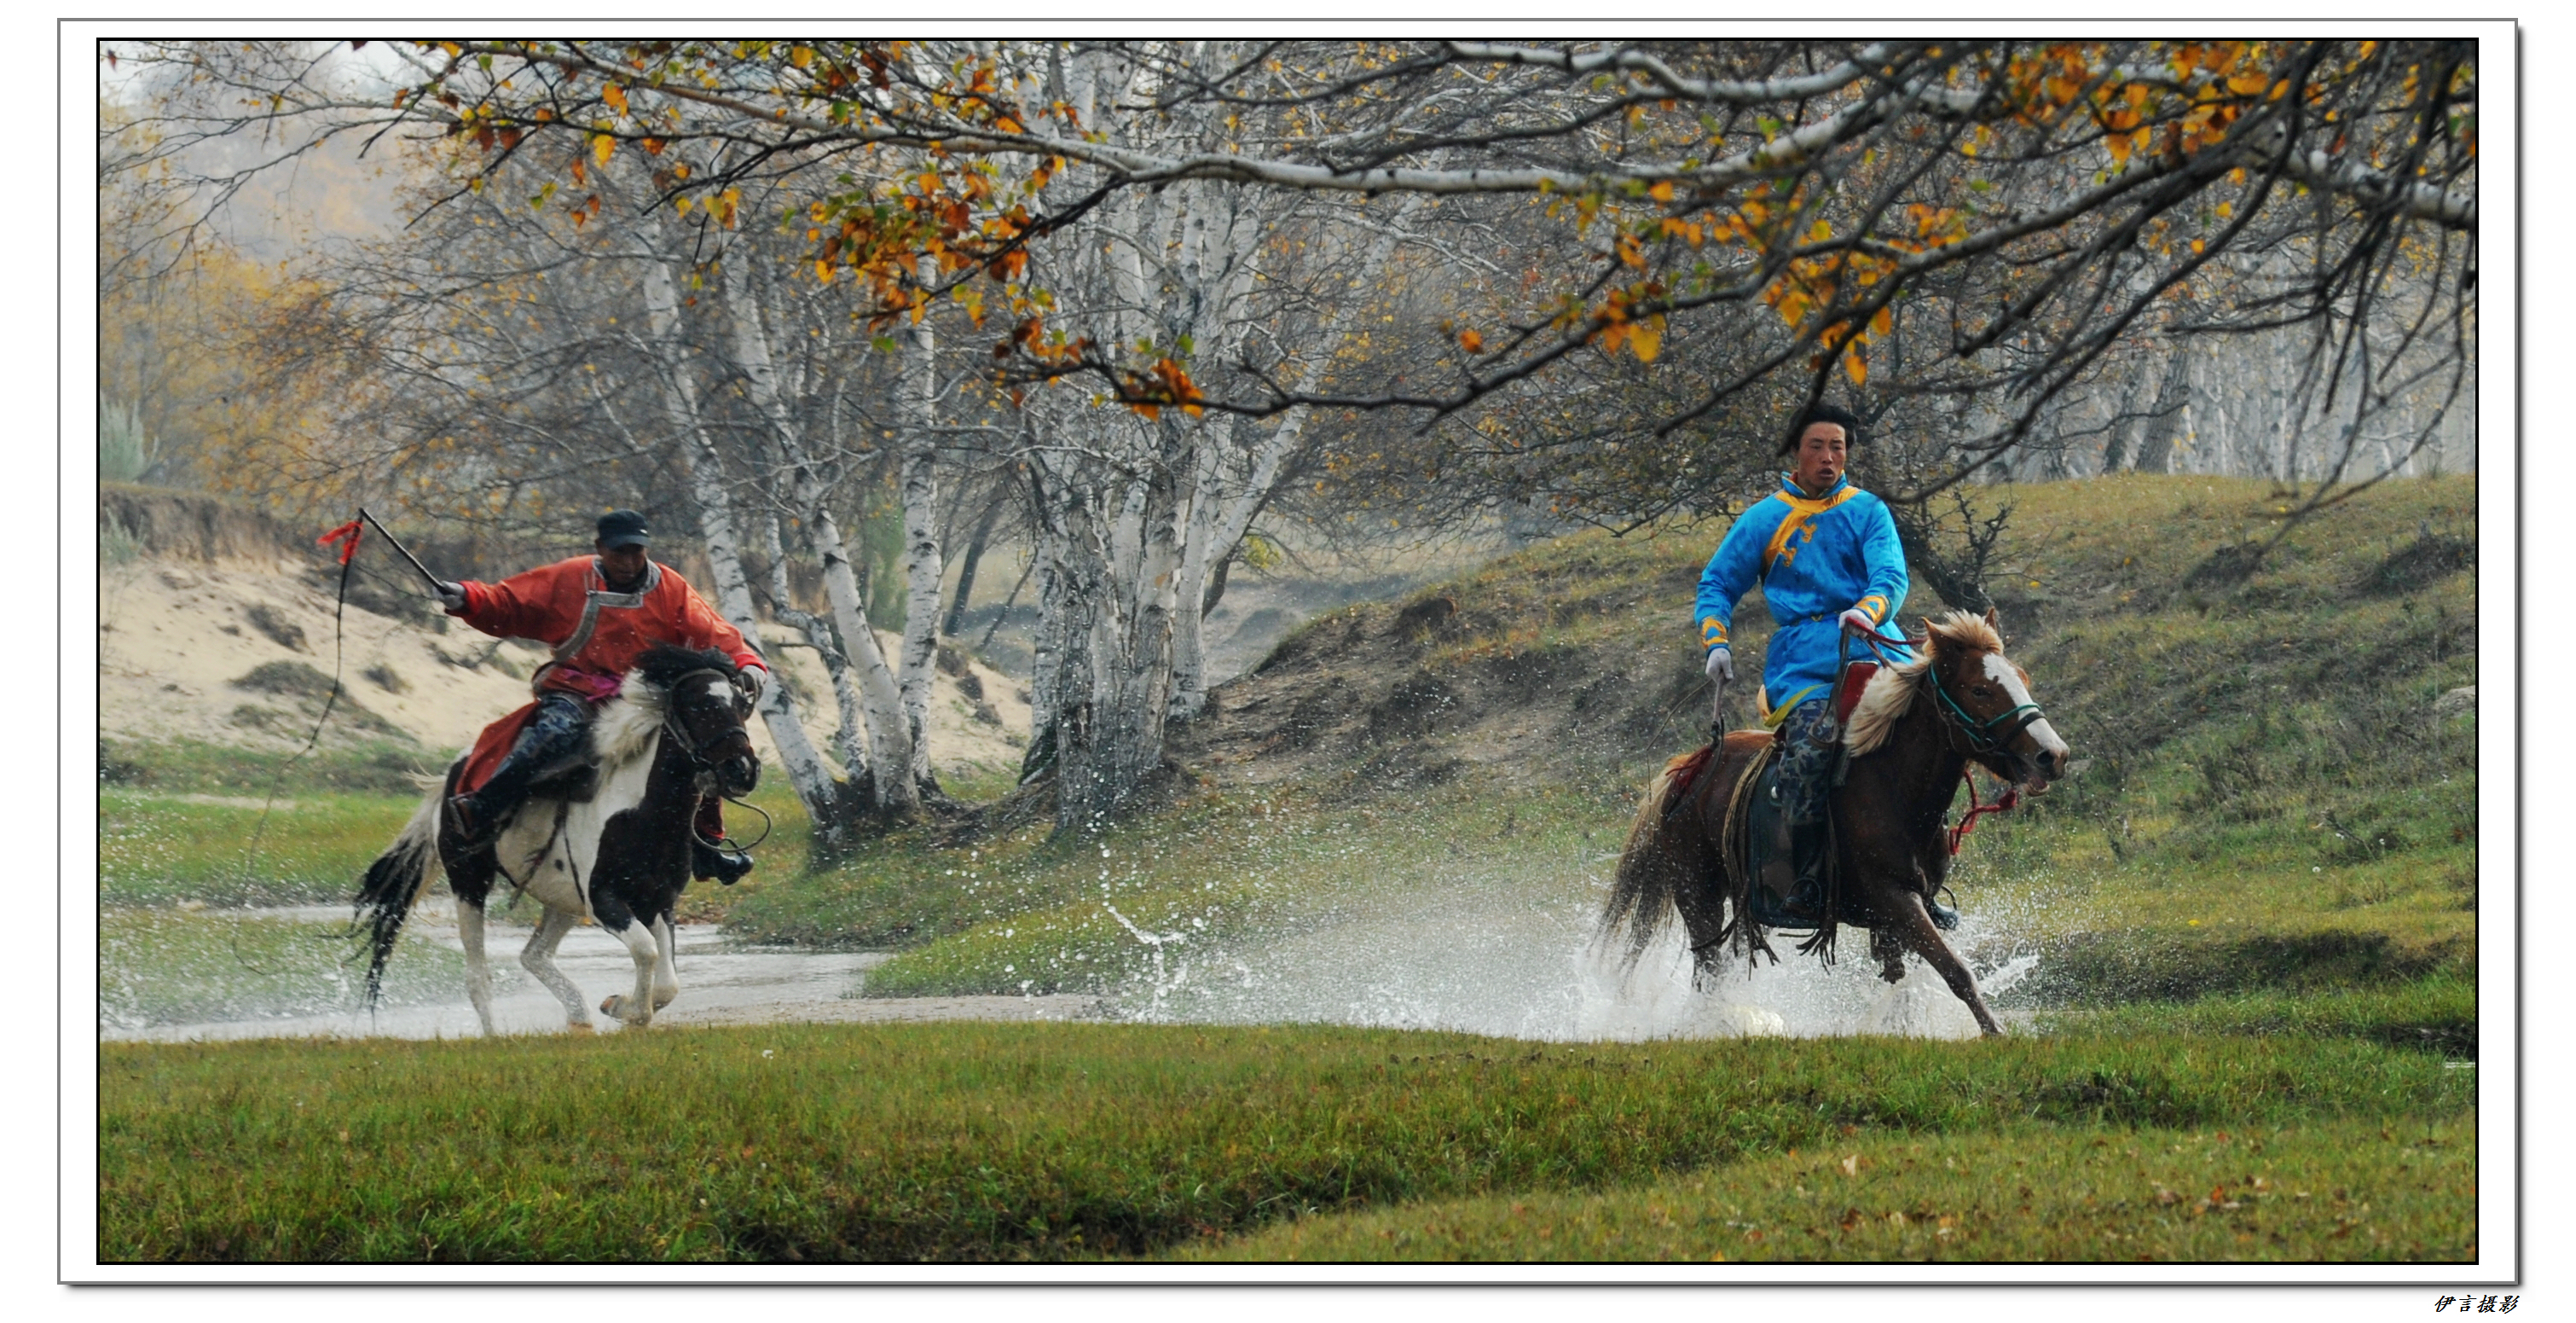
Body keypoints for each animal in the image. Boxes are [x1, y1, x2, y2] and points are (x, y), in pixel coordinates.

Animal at [352, 644, 757, 1036]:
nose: (744, 770)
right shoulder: (604, 901)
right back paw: (495, 1036)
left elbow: (668, 981)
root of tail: (453, 778)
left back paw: (578, 1016)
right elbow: (646, 952)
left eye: (741, 704)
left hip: (562, 898)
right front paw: (627, 1010)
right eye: (699, 705)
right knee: (478, 976)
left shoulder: (658, 902)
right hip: (469, 882)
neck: (640, 811)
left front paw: (619, 1006)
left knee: (533, 954)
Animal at [1607, 606, 2070, 1031]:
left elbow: (1900, 984)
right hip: (1698, 894)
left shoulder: (1896, 918)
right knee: (1707, 973)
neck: (1894, 785)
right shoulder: (1895, 900)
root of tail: (1692, 766)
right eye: (1979, 689)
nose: (2053, 755)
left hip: (1751, 904)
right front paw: (1995, 1033)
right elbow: (1955, 970)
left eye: (2021, 678)